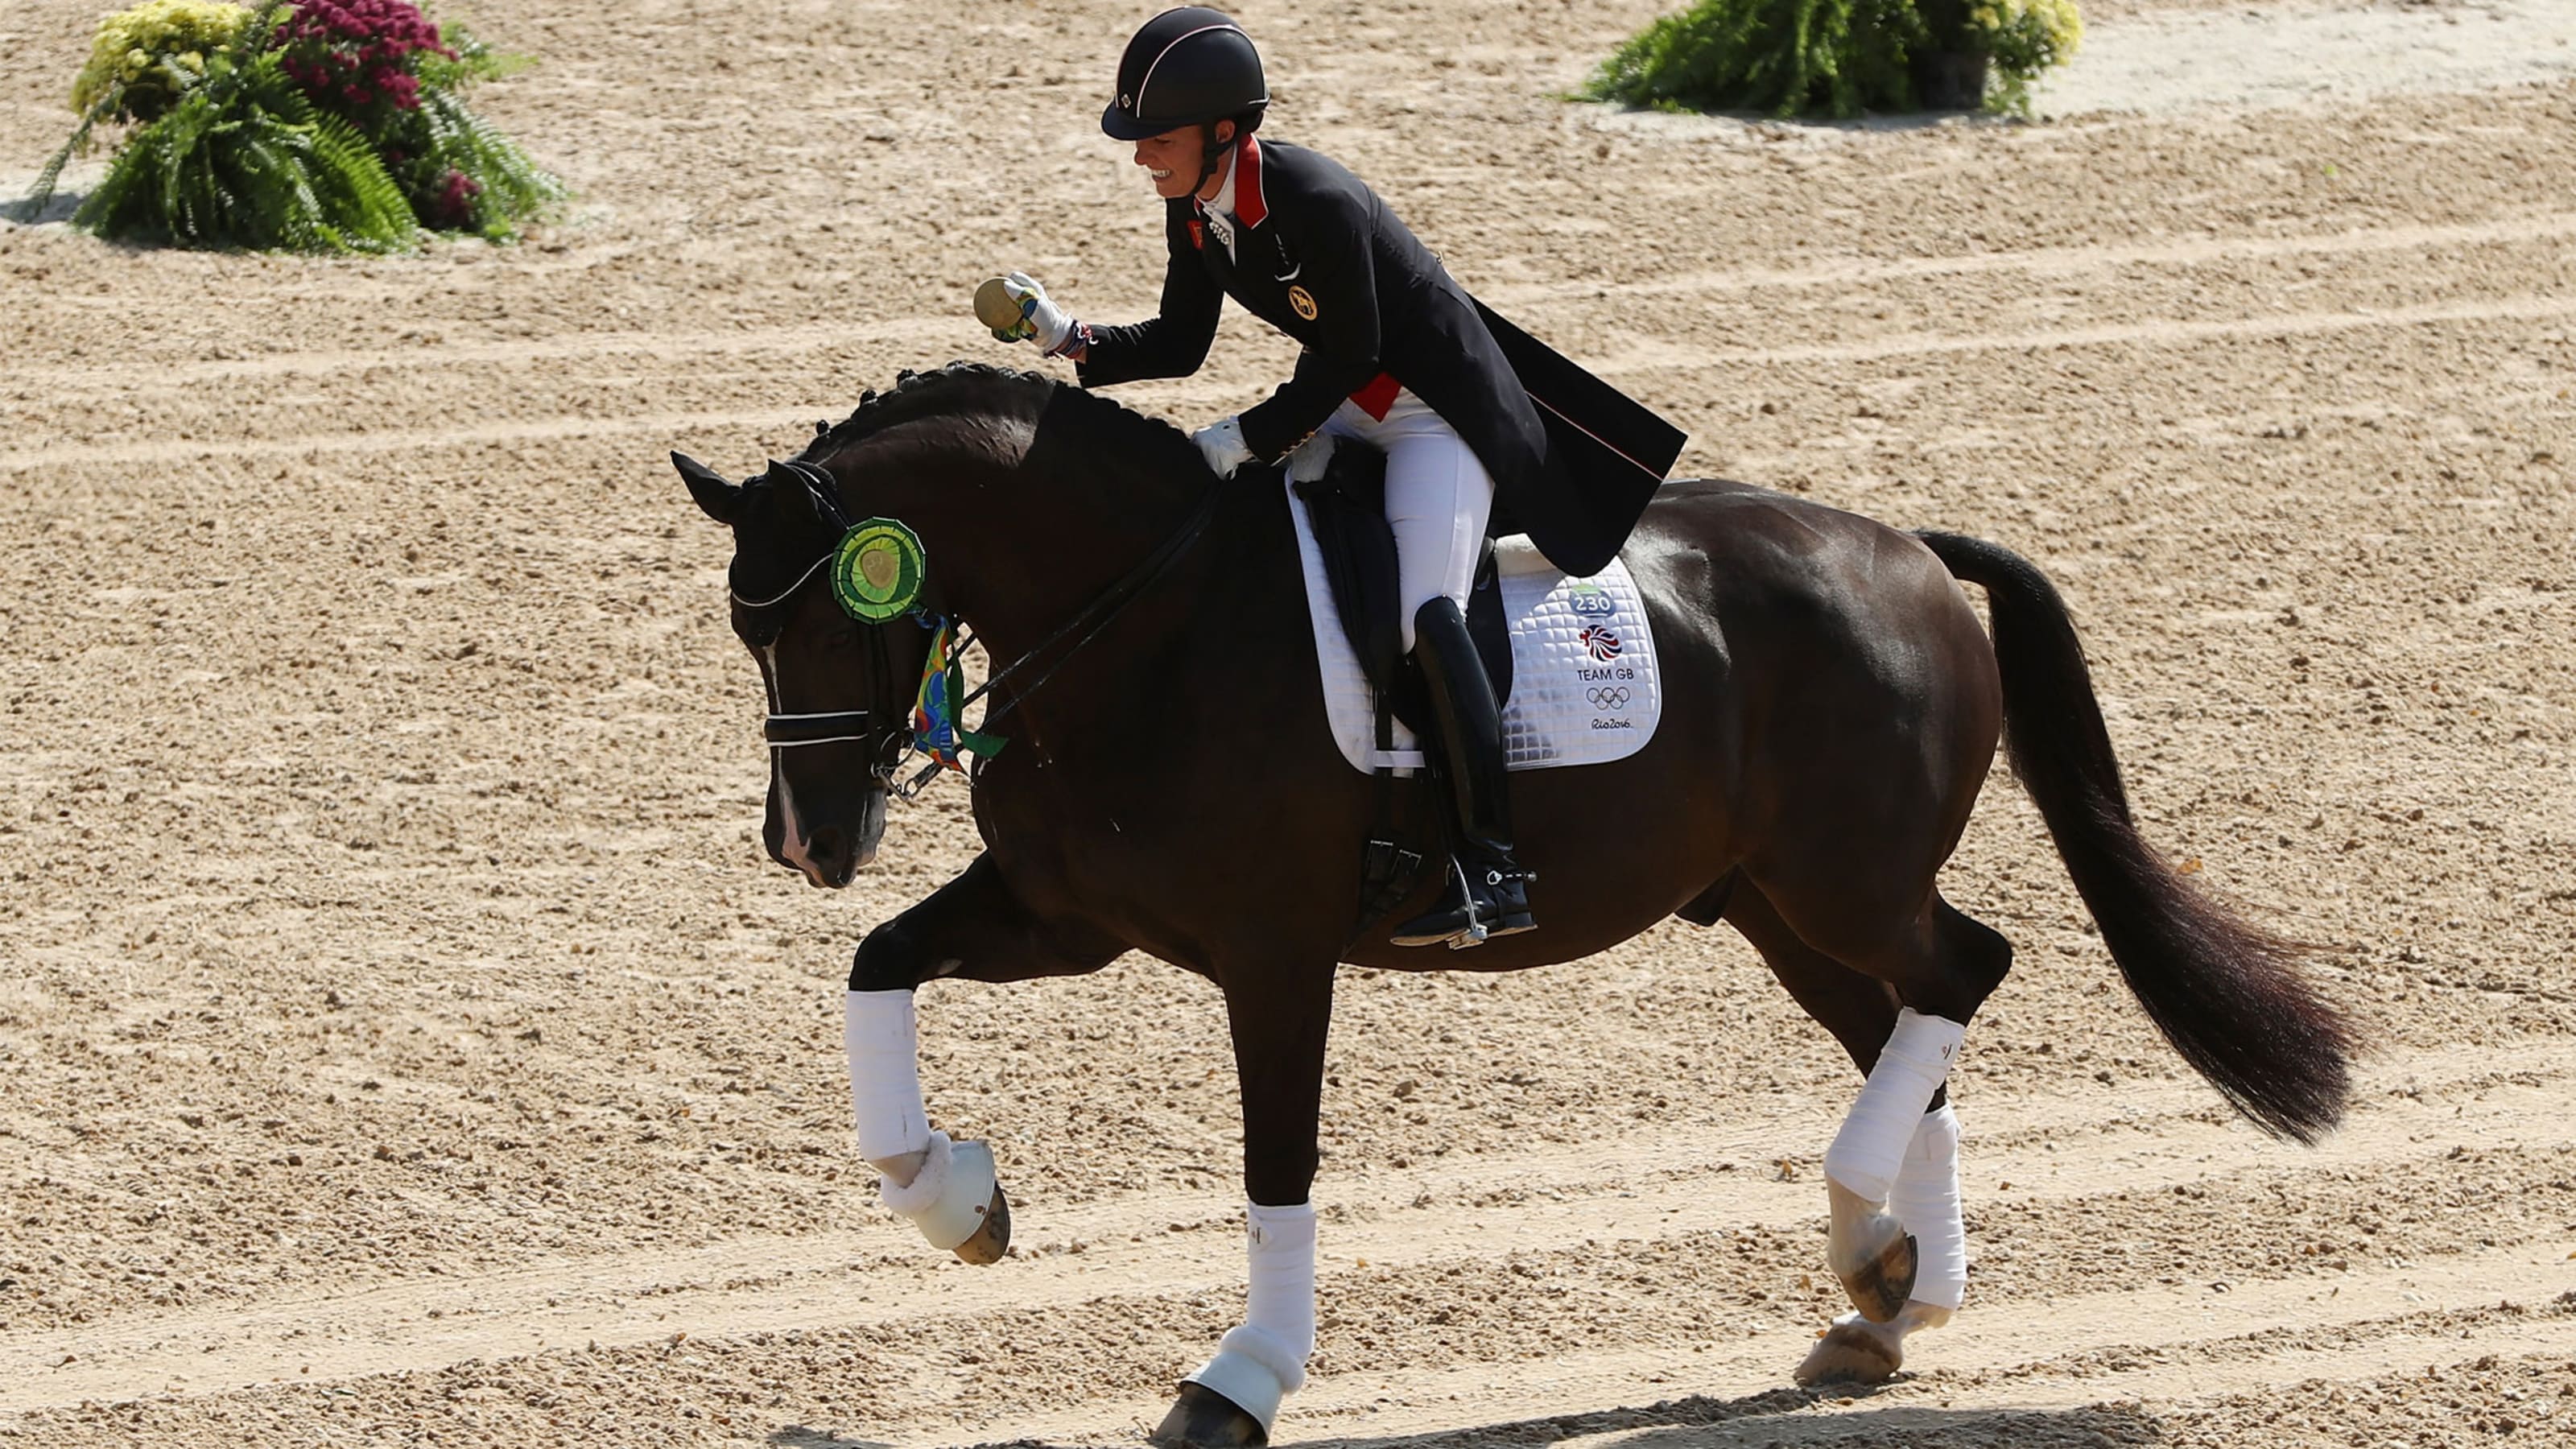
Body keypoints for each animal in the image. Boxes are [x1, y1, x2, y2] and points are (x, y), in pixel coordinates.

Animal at [679, 358, 2359, 1433]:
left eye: (825, 616)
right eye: (749, 635)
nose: (805, 841)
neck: (1138, 615)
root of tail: (1908, 552)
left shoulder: (1274, 955)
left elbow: (1276, 1165)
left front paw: (1240, 1381)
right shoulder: (1071, 919)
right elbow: (879, 968)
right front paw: (955, 1200)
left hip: (1846, 882)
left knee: (1967, 969)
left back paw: (1873, 1251)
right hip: (1777, 906)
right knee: (1908, 1031)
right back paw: (1891, 1297)